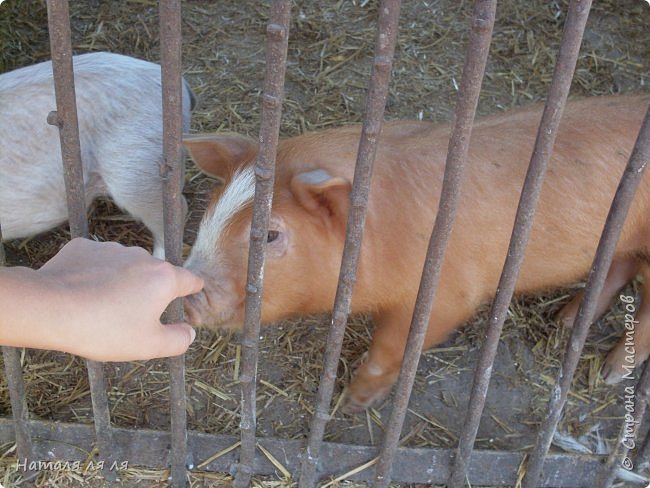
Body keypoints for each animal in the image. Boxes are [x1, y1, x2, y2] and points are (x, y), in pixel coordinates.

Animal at [181, 95, 648, 412]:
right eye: (211, 208)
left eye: (271, 234)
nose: (188, 293)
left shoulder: (447, 295)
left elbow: (391, 349)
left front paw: (350, 405)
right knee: (619, 266)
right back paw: (563, 321)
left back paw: (609, 373)